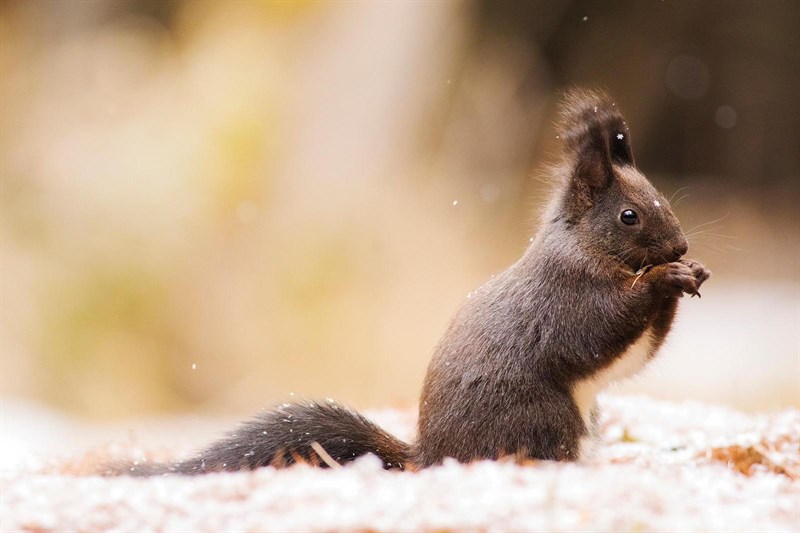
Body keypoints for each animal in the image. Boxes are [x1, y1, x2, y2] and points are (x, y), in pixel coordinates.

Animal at [115, 89, 708, 476]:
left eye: (659, 196)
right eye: (630, 216)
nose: (680, 248)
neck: (584, 248)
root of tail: (432, 456)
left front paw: (691, 276)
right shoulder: (567, 296)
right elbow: (602, 331)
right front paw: (665, 280)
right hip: (544, 416)